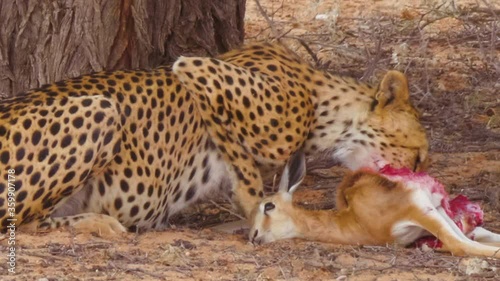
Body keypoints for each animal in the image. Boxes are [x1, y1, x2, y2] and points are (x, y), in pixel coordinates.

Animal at [0, 42, 428, 234]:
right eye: (419, 156)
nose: (417, 177)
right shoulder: (197, 68)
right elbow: (243, 162)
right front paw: (258, 209)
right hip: (102, 109)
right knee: (20, 223)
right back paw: (101, 224)